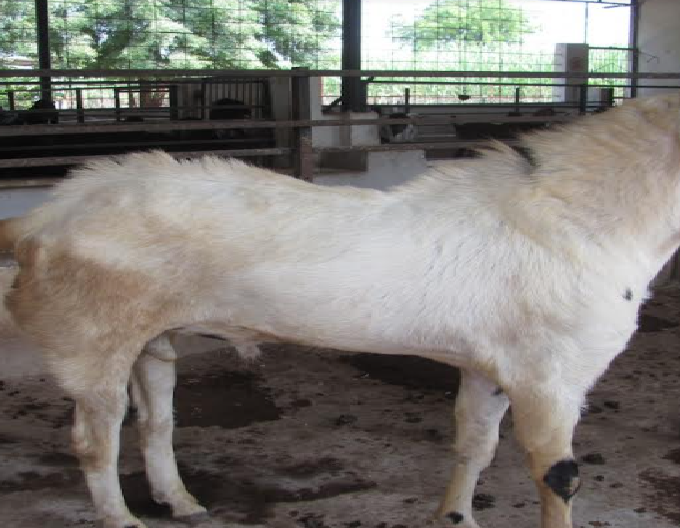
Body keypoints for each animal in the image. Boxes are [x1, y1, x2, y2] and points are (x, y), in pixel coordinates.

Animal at [1, 94, 680, 528]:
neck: (577, 215)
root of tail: (44, 215)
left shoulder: (492, 365)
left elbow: (473, 445)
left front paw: (454, 517)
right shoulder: (552, 375)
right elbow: (557, 474)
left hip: (150, 338)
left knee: (154, 424)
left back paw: (182, 502)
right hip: (92, 340)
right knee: (95, 440)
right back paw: (122, 520)